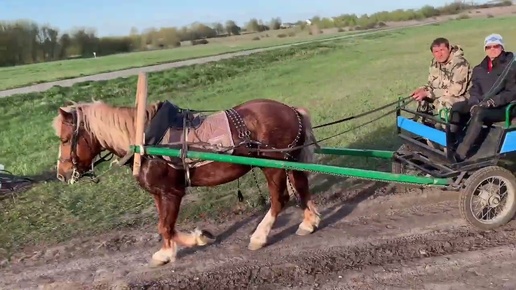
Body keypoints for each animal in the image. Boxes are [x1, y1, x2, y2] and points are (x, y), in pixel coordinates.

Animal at [51, 98, 318, 268]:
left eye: (64, 139)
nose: (62, 174)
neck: (146, 142)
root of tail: (292, 110)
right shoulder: (158, 193)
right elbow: (164, 226)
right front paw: (168, 251)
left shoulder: (172, 192)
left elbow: (166, 227)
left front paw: (198, 238)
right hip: (291, 161)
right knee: (302, 188)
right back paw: (309, 222)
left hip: (273, 165)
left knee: (279, 199)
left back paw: (259, 237)